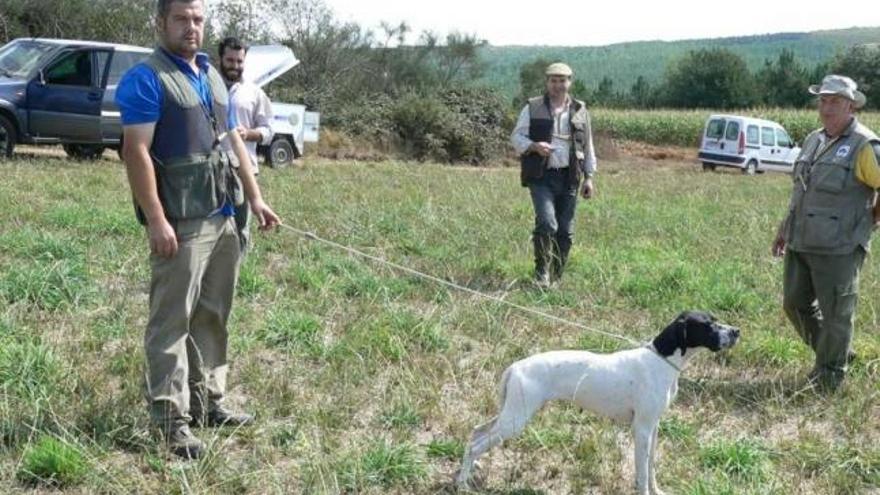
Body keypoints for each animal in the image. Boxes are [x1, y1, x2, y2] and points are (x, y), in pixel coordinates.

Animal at [458, 312, 740, 494]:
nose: (736, 331)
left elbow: (651, 467)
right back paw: (461, 484)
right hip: (516, 420)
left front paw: (658, 490)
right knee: (475, 445)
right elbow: (641, 473)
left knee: (475, 434)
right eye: (708, 325)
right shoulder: (642, 429)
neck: (661, 360)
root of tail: (515, 367)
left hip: (510, 415)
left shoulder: (654, 427)